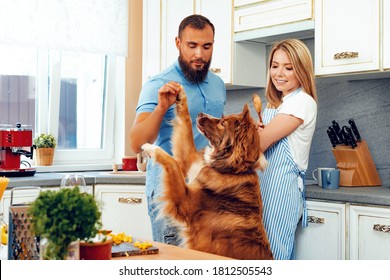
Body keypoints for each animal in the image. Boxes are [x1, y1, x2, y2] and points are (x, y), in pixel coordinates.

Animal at [142, 87, 272, 260]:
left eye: (223, 123)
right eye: (223, 118)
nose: (200, 114)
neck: (230, 170)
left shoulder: (185, 201)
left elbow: (172, 162)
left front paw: (151, 148)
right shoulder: (192, 163)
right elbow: (186, 123)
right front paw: (179, 94)